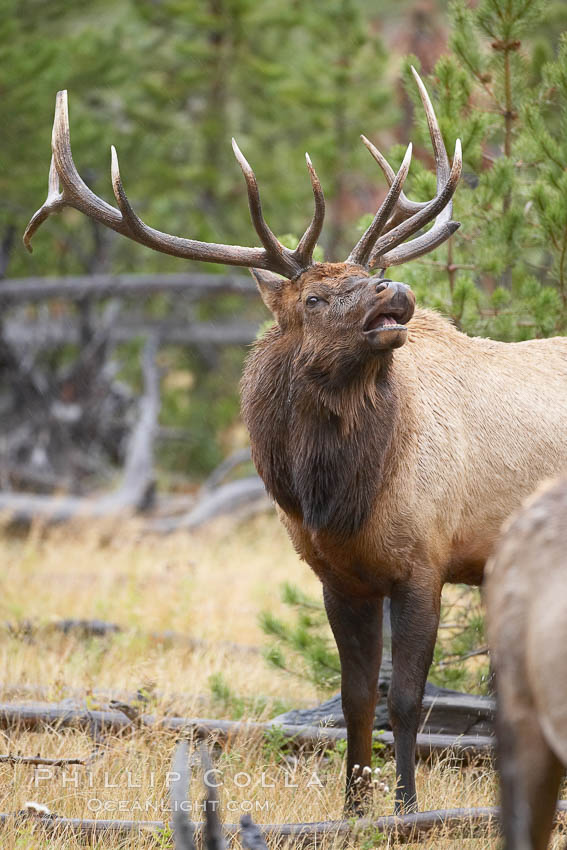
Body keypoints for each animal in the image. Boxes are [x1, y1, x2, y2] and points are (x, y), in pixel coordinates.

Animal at [24, 69, 567, 812]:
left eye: (363, 279)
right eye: (313, 298)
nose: (395, 289)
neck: (334, 495)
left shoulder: (425, 559)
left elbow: (407, 701)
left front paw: (406, 808)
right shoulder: (338, 576)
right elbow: (355, 698)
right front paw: (352, 809)